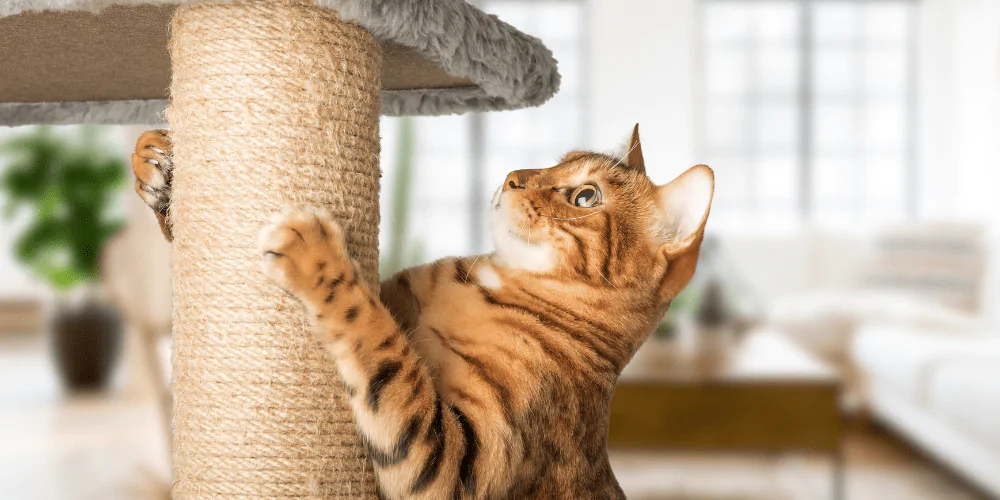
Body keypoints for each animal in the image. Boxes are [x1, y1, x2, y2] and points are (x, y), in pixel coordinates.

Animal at [135, 126, 712, 500]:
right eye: (554, 161)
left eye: (586, 197)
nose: (513, 176)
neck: (491, 285)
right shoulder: (397, 296)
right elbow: (385, 320)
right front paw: (161, 170)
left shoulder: (455, 465)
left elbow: (378, 340)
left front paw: (317, 253)